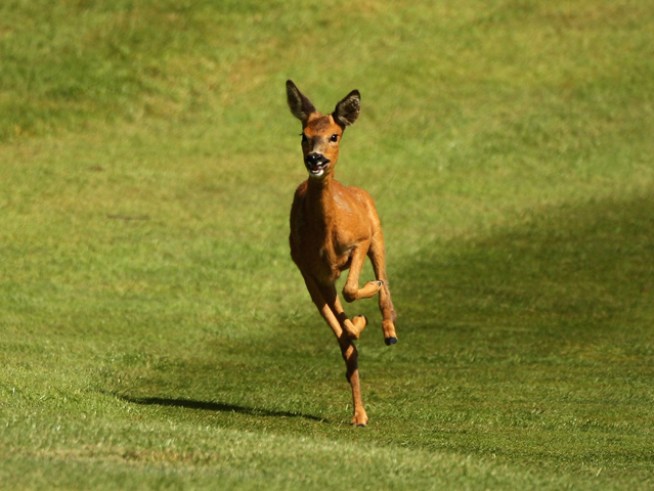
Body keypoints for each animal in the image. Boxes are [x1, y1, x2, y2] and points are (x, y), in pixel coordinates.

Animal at [286, 80, 397, 427]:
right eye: (304, 134)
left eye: (334, 135)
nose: (315, 159)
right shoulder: (307, 268)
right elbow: (341, 329)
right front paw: (357, 324)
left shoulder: (359, 241)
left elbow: (351, 290)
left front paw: (367, 309)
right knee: (343, 335)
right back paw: (359, 414)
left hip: (378, 234)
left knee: (385, 282)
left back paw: (390, 329)